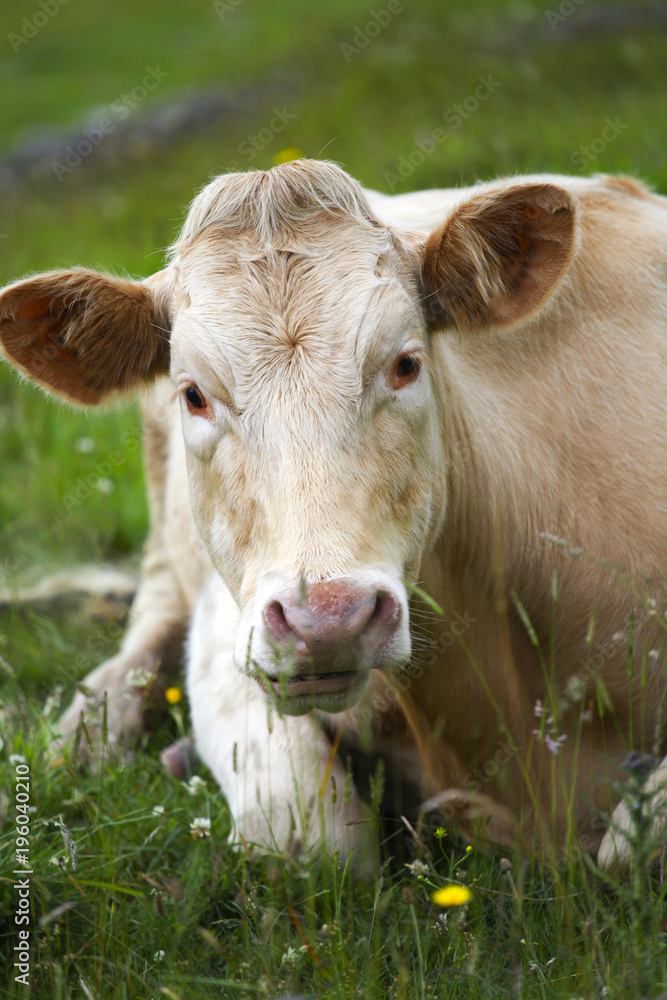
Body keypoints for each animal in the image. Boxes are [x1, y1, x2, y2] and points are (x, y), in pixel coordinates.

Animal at [2, 159, 667, 874]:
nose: (326, 622)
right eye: (194, 394)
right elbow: (315, 840)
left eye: (406, 364)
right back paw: (80, 738)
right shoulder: (228, 629)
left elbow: (631, 846)